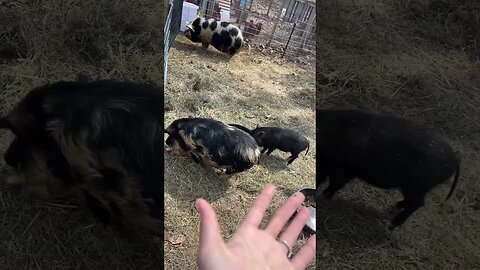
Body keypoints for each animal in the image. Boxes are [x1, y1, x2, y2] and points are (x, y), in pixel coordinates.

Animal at [316, 109, 462, 230]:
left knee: (417, 203)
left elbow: (335, 183)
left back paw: (391, 225)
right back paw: (395, 207)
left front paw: (324, 197)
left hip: (417, 185)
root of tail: (454, 158)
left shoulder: (344, 168)